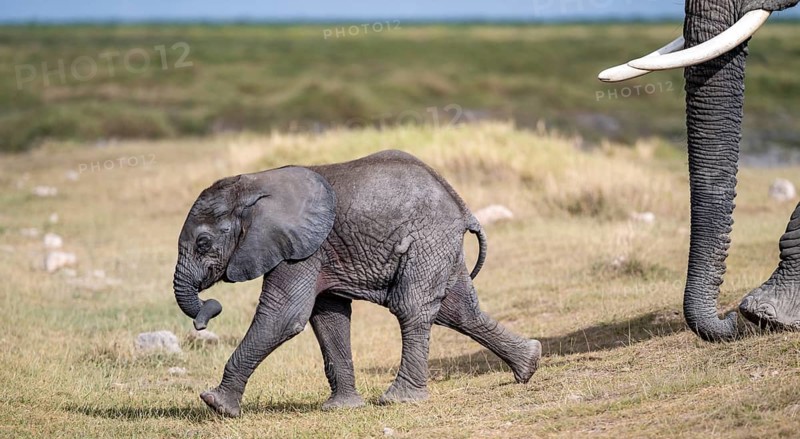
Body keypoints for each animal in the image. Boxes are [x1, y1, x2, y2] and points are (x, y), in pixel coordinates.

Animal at [172, 150, 542, 417]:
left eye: (203, 243)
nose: (206, 316)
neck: (253, 185)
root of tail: (463, 207)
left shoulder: (301, 249)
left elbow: (284, 316)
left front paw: (215, 404)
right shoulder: (316, 251)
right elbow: (328, 318)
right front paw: (341, 408)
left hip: (427, 240)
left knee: (412, 307)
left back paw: (399, 400)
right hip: (439, 245)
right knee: (458, 310)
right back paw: (529, 365)